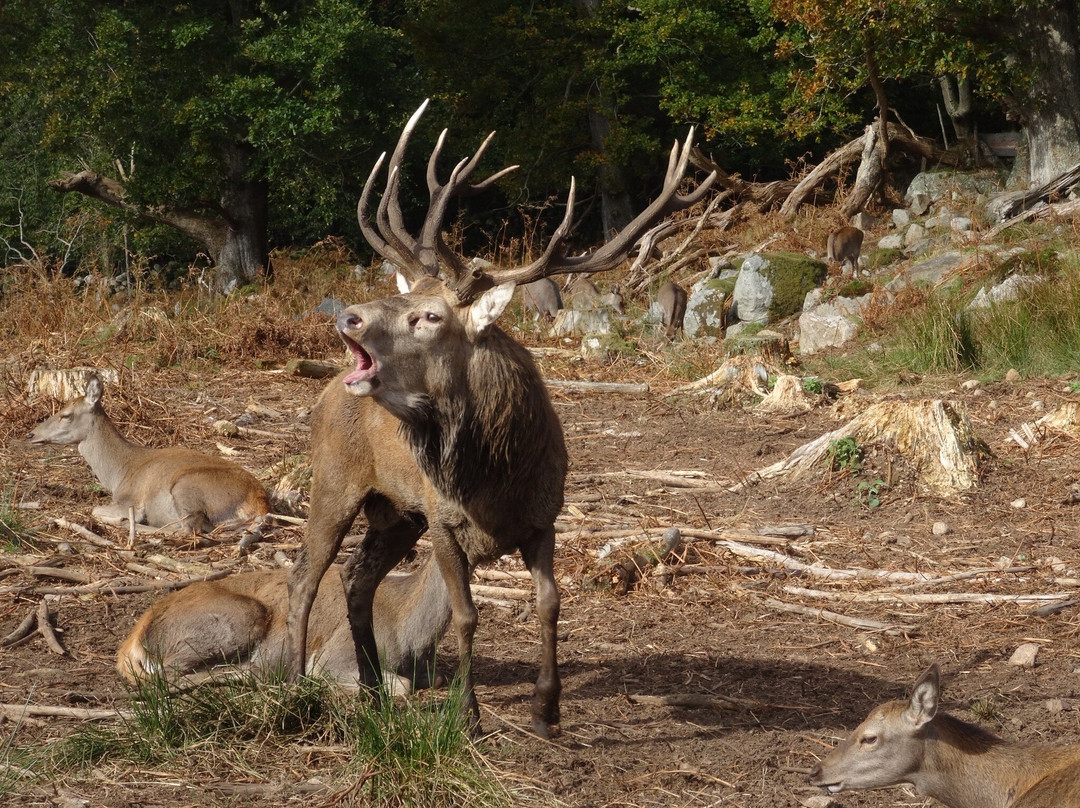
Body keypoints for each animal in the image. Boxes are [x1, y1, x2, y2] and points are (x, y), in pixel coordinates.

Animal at [26, 374, 269, 535]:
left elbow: (95, 509)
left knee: (188, 530)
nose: (31, 434)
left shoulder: (130, 499)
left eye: (66, 415)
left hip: (187, 488)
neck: (119, 474)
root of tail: (259, 505)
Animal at [118, 555, 450, 696]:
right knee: (167, 673)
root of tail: (132, 642)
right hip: (237, 618)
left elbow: (436, 678)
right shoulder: (336, 655)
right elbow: (402, 685)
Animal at [284, 99, 715, 738]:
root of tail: (326, 395)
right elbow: (466, 615)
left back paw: (372, 690)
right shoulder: (442, 520)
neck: (494, 481)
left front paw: (547, 711)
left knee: (356, 578)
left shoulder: (543, 517)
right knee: (305, 576)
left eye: (430, 315)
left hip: (396, 511)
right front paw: (468, 716)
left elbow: (551, 603)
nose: (349, 317)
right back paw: (292, 687)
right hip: (336, 481)